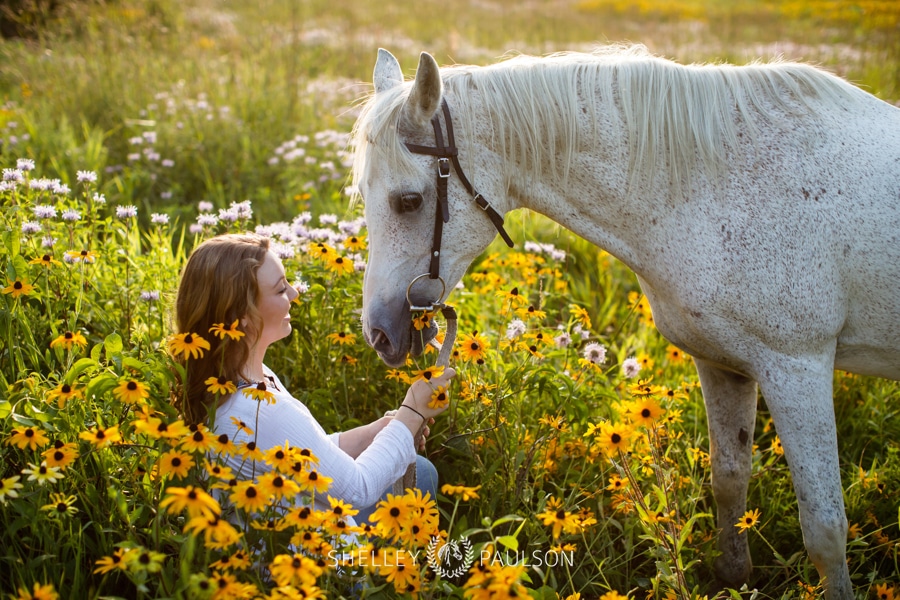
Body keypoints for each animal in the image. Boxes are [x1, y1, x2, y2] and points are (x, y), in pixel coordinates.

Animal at [350, 44, 900, 596]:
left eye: (410, 201)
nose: (379, 333)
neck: (712, 187)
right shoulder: (724, 365)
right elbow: (728, 481)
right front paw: (732, 577)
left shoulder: (797, 368)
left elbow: (825, 529)